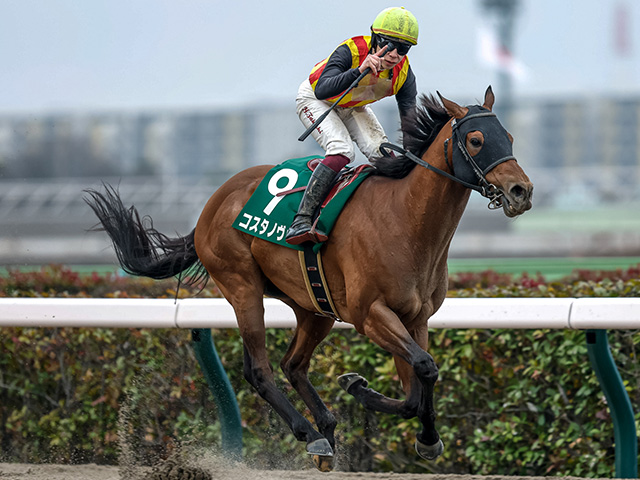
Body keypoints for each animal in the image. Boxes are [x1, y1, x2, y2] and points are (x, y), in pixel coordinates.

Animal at [85, 87, 536, 472]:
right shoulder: (370, 314)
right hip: (242, 286)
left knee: (293, 364)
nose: (521, 191)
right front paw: (365, 394)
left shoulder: (415, 318)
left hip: (313, 306)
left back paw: (327, 429)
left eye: (510, 136)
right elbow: (424, 367)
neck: (406, 220)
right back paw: (311, 434)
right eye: (476, 139)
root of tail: (211, 204)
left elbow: (418, 383)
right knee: (260, 369)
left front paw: (406, 424)